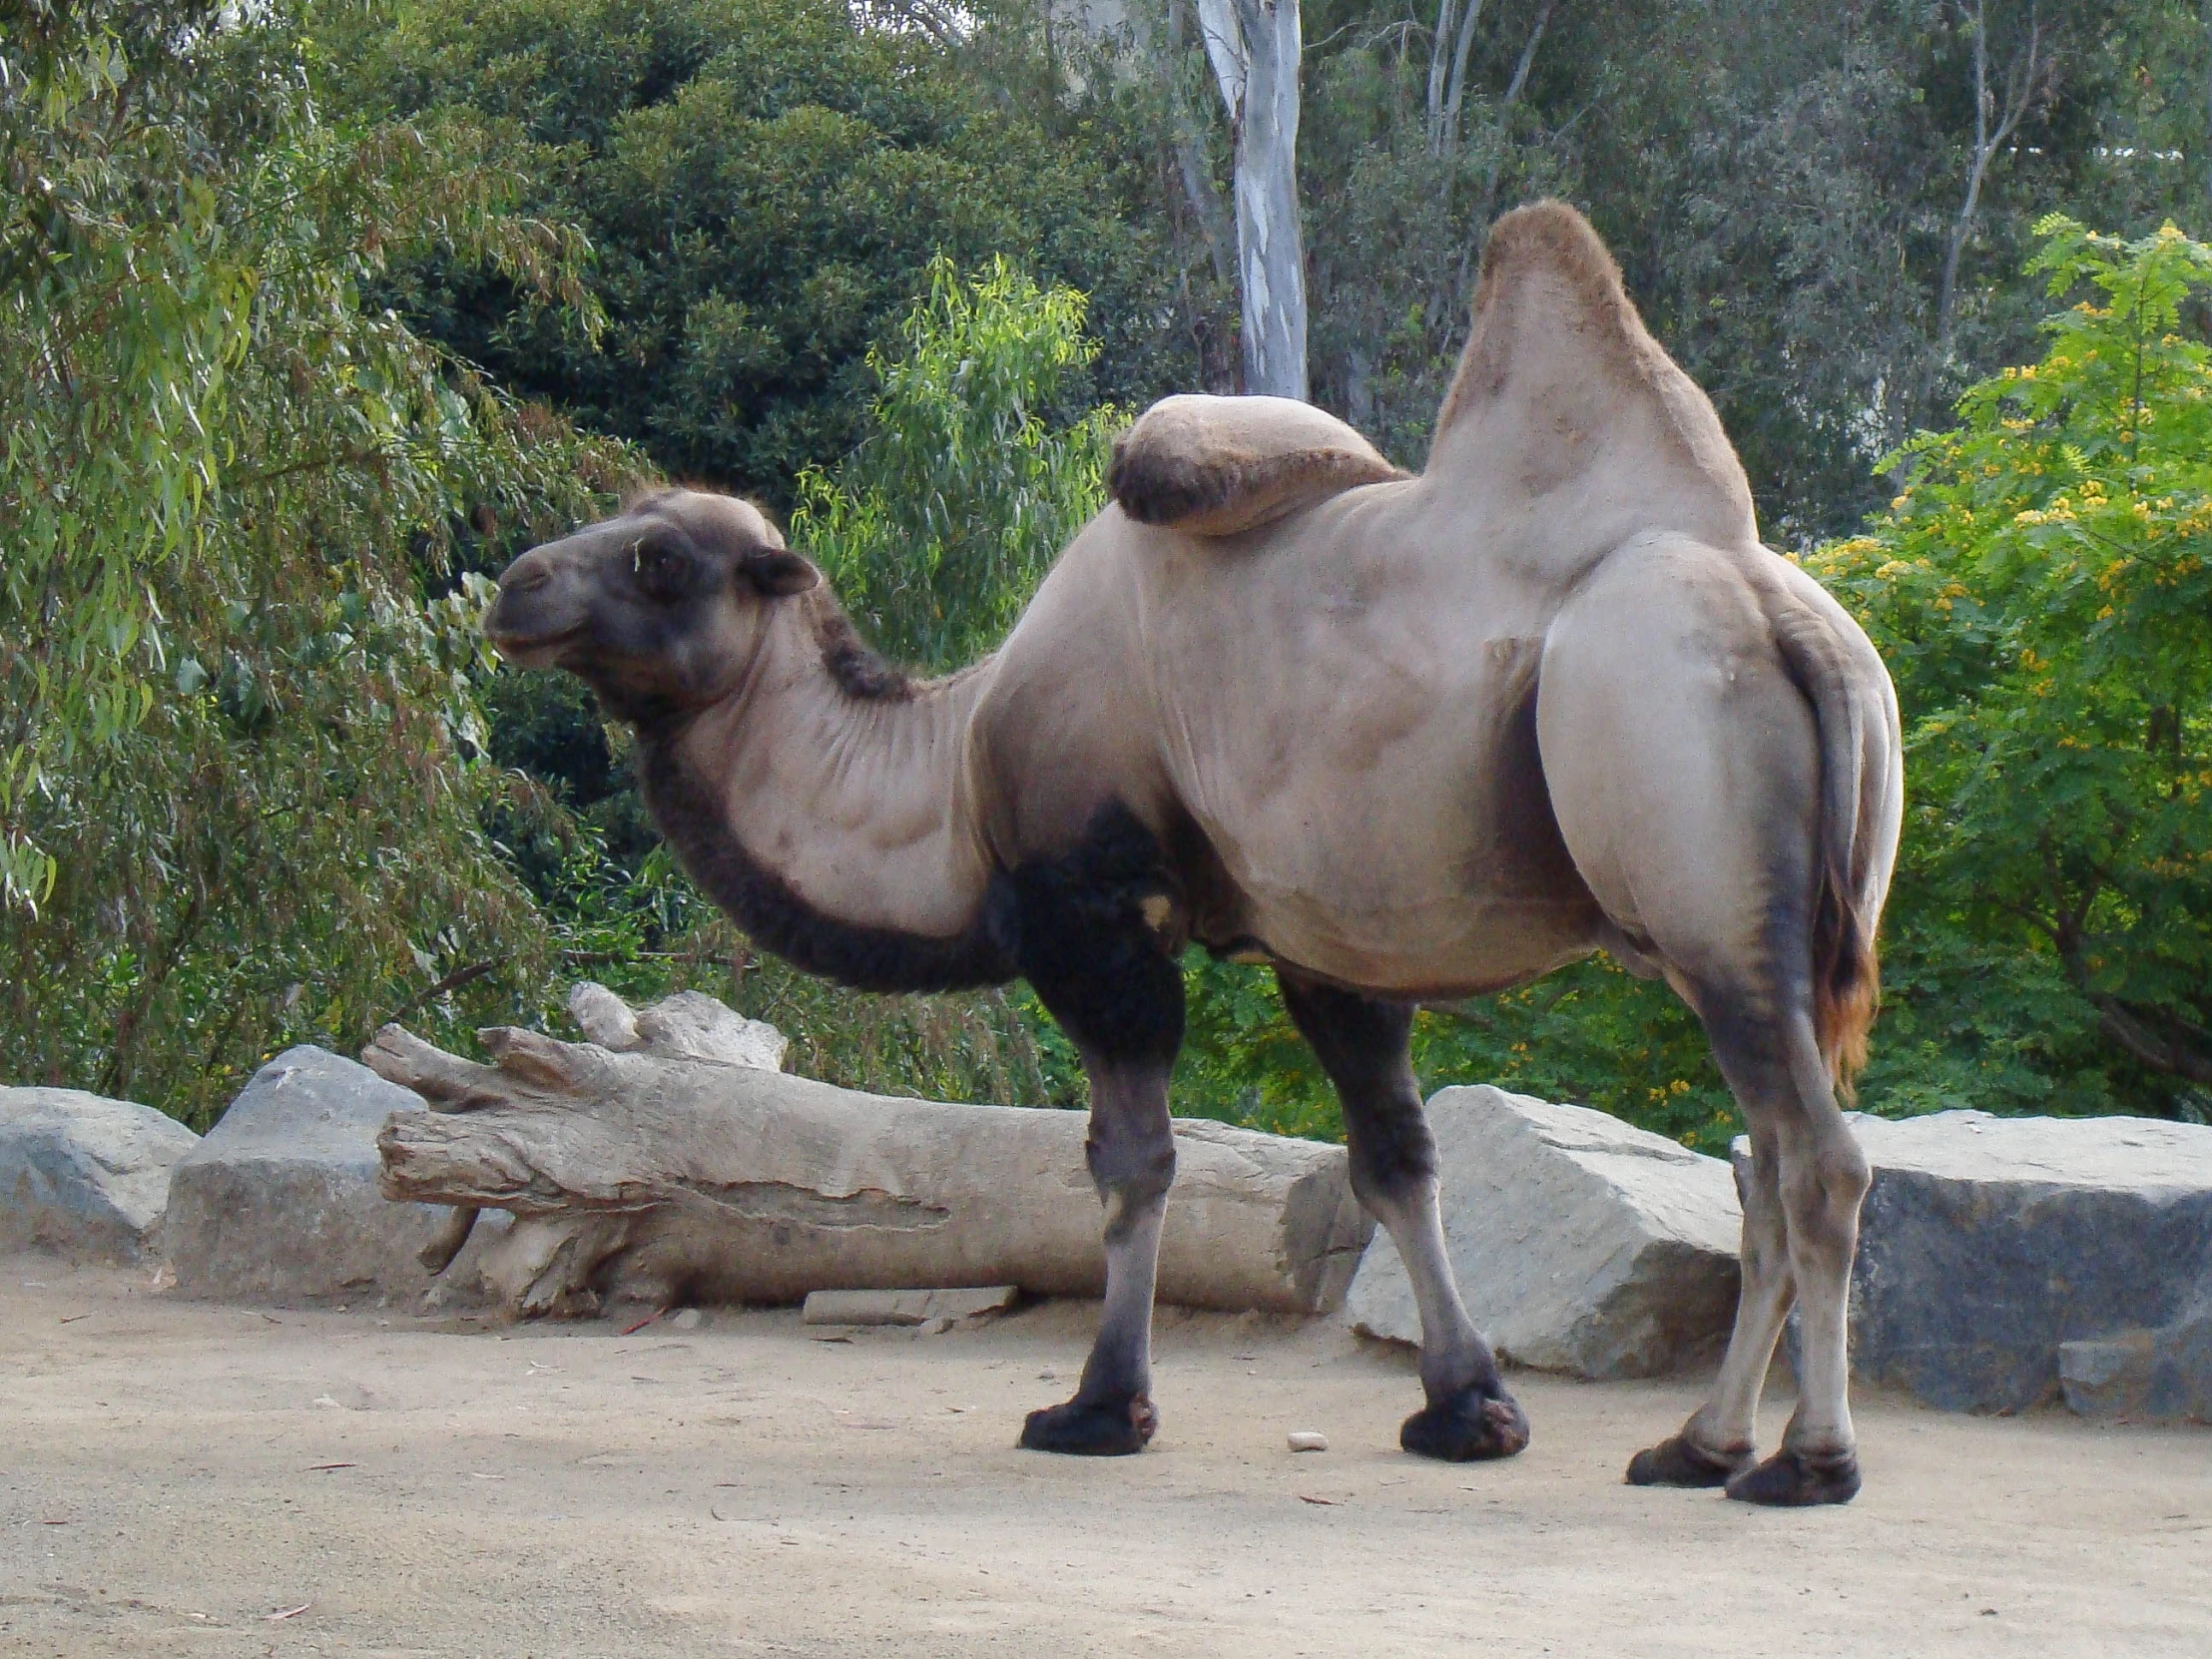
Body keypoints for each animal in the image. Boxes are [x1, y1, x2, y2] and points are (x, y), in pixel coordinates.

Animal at [488, 201, 1902, 1512]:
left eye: (660, 558)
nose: (513, 588)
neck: (958, 763)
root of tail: (1787, 620)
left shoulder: (1094, 923)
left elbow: (1130, 1165)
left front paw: (1098, 1408)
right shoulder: (1329, 948)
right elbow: (1394, 1161)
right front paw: (1467, 1409)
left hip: (1698, 879)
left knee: (1814, 1161)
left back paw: (1804, 1463)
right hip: (1756, 910)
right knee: (1761, 1169)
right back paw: (1693, 1446)